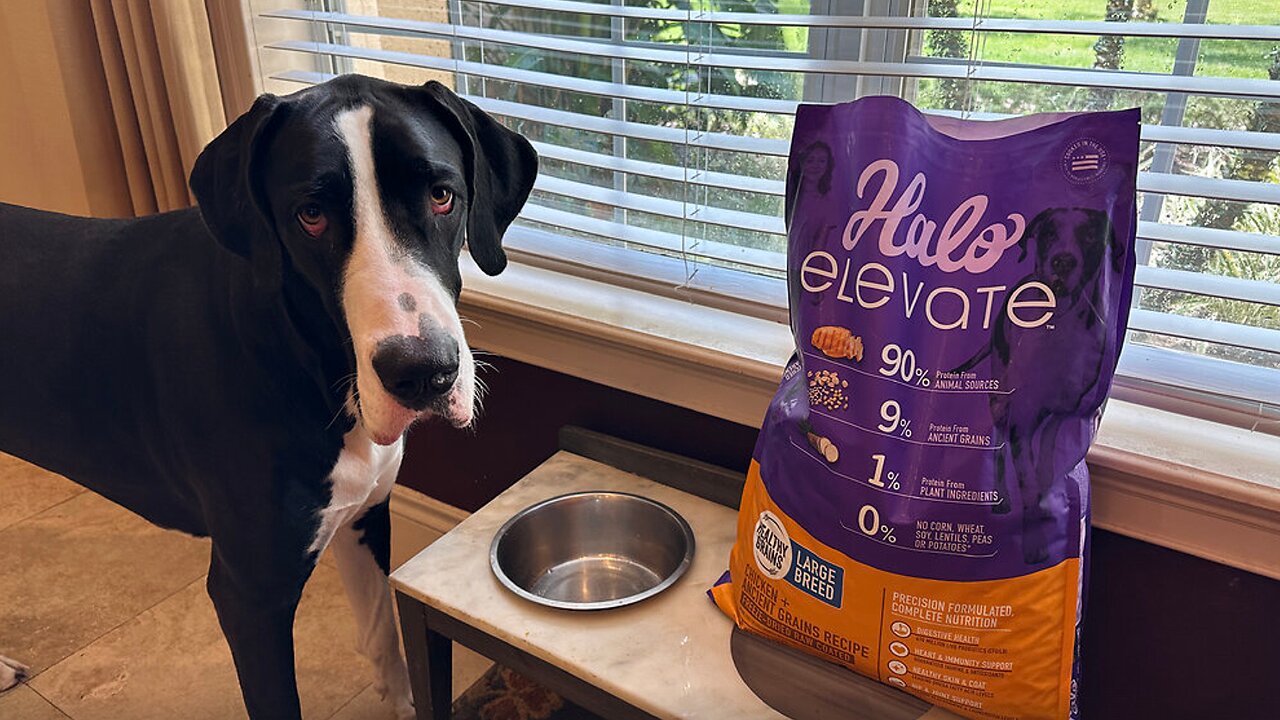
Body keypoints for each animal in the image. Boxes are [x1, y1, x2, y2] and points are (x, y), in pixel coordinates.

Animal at [0, 74, 537, 717]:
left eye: (441, 195)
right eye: (310, 215)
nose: (423, 372)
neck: (309, 360)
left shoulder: (363, 516)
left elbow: (382, 636)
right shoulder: (250, 596)